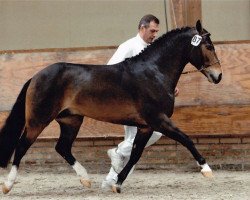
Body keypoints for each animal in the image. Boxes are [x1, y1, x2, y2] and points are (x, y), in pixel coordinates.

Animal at [0, 20, 222, 194]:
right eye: (208, 46)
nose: (218, 76)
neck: (153, 72)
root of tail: (36, 76)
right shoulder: (158, 120)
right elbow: (186, 139)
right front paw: (206, 169)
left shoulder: (146, 126)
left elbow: (135, 155)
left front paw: (118, 183)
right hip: (38, 120)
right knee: (22, 146)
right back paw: (8, 185)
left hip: (71, 120)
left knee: (62, 147)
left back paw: (85, 179)